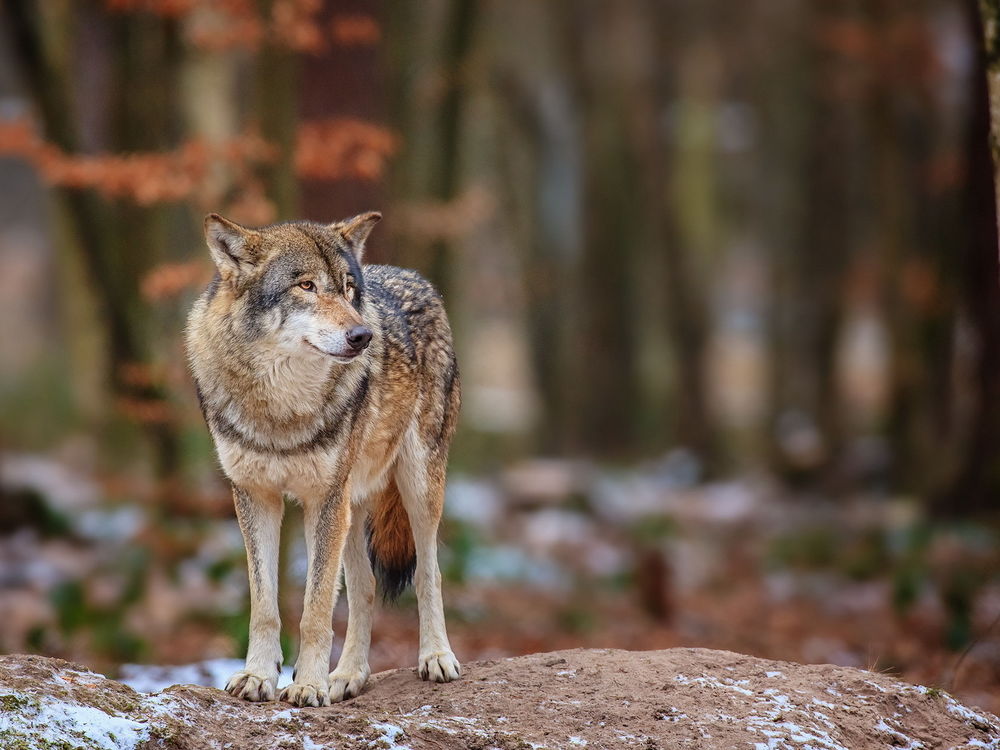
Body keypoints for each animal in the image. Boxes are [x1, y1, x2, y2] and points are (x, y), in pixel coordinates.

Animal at [185, 211, 461, 707]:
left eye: (350, 288)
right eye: (307, 286)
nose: (363, 335)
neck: (281, 408)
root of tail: (412, 275)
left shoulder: (322, 500)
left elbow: (314, 611)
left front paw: (308, 685)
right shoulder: (256, 498)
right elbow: (264, 605)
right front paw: (258, 677)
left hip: (414, 487)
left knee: (428, 574)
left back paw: (436, 658)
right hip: (351, 506)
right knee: (364, 588)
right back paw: (349, 675)